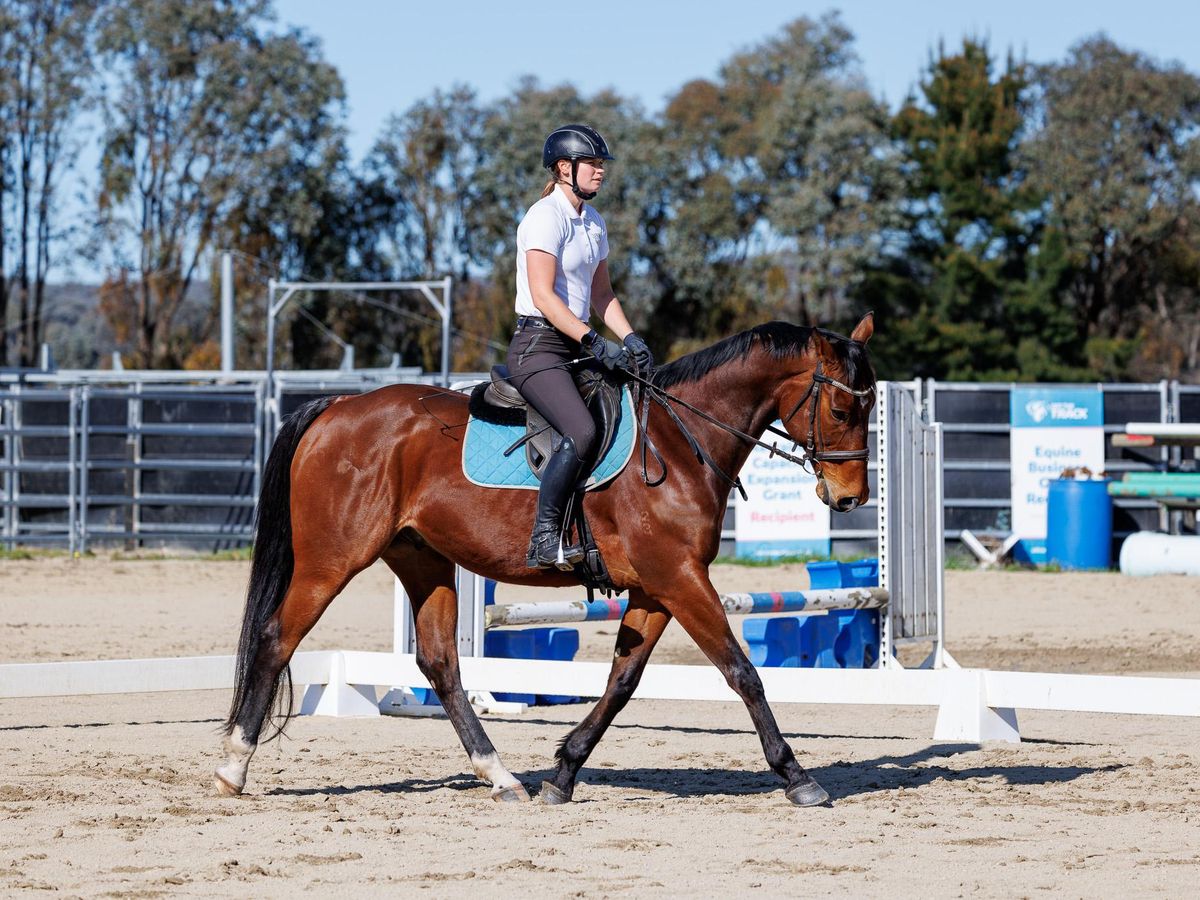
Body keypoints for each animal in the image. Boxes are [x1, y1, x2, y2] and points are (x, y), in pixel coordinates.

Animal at [215, 313, 877, 807]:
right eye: (843, 411)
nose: (850, 499)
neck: (678, 441)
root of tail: (336, 407)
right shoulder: (681, 579)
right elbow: (743, 672)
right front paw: (797, 776)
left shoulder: (658, 586)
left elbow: (622, 681)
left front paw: (562, 773)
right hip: (332, 560)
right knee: (277, 637)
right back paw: (233, 768)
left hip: (423, 561)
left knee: (440, 664)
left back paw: (501, 777)